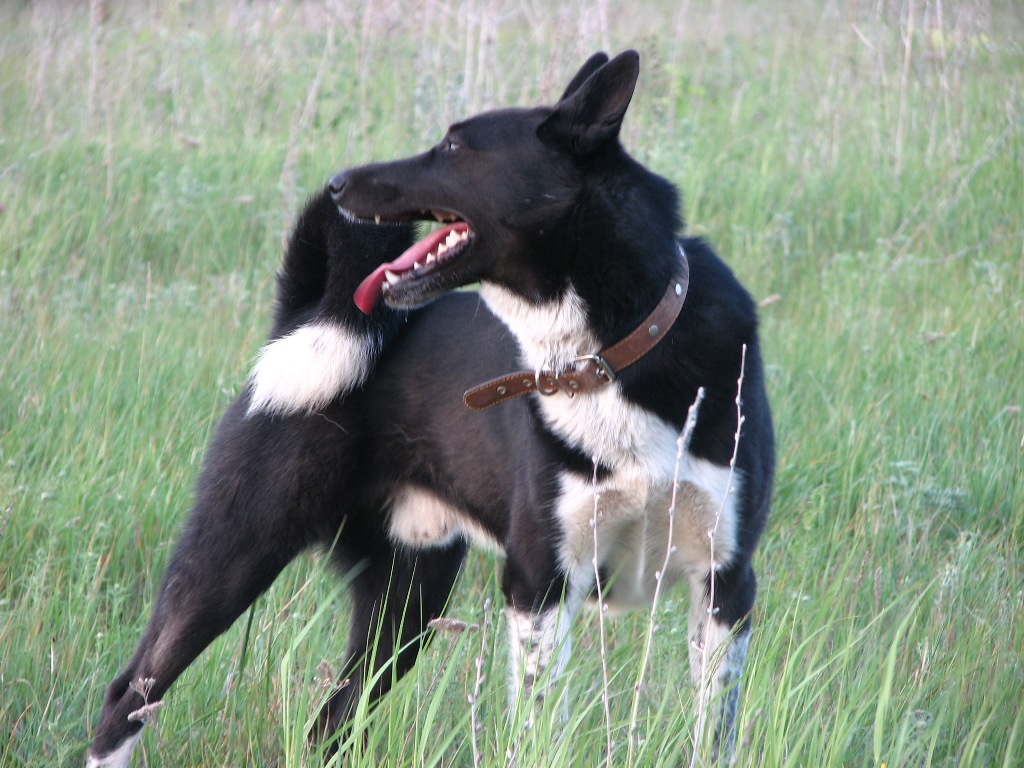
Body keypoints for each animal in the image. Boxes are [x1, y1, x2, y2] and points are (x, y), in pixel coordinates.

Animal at [90, 51, 774, 765]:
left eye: (453, 147)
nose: (336, 182)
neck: (608, 354)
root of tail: (303, 316)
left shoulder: (725, 587)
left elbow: (713, 733)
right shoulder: (540, 584)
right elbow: (536, 730)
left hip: (405, 601)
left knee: (329, 723)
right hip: (233, 554)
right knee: (129, 695)